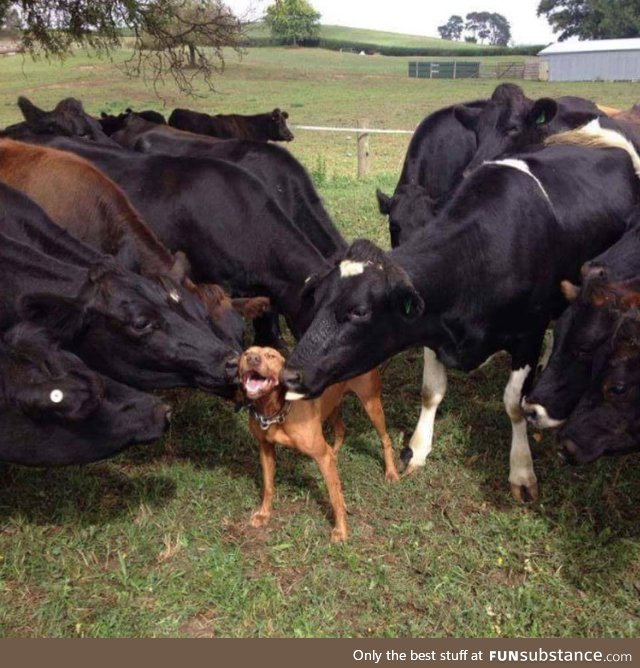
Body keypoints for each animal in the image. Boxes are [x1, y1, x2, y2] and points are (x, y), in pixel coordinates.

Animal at [240, 348, 400, 540]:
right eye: (247, 353)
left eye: (271, 356)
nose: (252, 359)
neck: (275, 411)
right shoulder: (265, 448)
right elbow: (268, 486)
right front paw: (264, 514)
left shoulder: (321, 455)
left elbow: (334, 497)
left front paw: (341, 530)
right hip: (332, 406)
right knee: (341, 430)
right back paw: (337, 454)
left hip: (371, 404)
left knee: (385, 439)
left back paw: (391, 472)